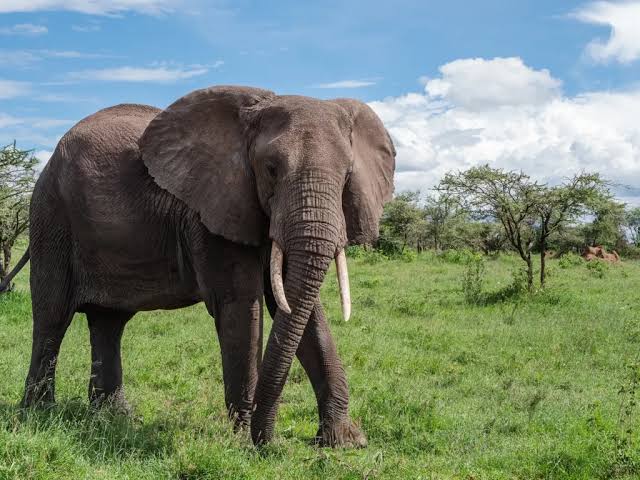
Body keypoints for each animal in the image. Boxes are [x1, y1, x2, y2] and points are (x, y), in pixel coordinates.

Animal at [1, 86, 395, 447]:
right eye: (270, 170)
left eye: (347, 176)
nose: (271, 440)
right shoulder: (209, 213)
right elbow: (241, 305)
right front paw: (244, 445)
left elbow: (305, 311)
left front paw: (344, 443)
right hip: (51, 216)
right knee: (53, 316)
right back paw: (39, 416)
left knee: (109, 322)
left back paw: (114, 419)